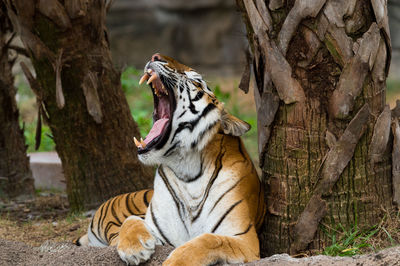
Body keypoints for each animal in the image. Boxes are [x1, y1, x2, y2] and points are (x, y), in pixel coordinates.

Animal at [74, 54, 266, 266]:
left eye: (195, 80)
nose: (155, 56)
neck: (188, 172)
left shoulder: (244, 240)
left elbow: (208, 239)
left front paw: (176, 261)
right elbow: (130, 220)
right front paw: (134, 248)